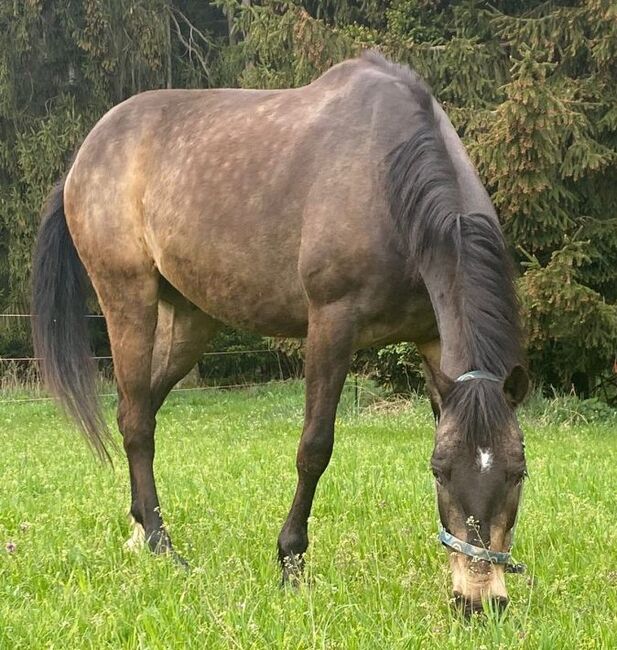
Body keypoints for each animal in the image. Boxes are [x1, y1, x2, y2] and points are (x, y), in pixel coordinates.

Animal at [31, 53, 528, 612]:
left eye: (518, 472)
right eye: (440, 470)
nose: (480, 601)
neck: (389, 182)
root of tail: (83, 157)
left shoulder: (434, 342)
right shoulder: (332, 326)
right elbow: (314, 448)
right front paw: (291, 560)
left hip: (190, 322)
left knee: (140, 410)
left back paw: (139, 528)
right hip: (127, 298)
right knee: (136, 421)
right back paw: (163, 545)